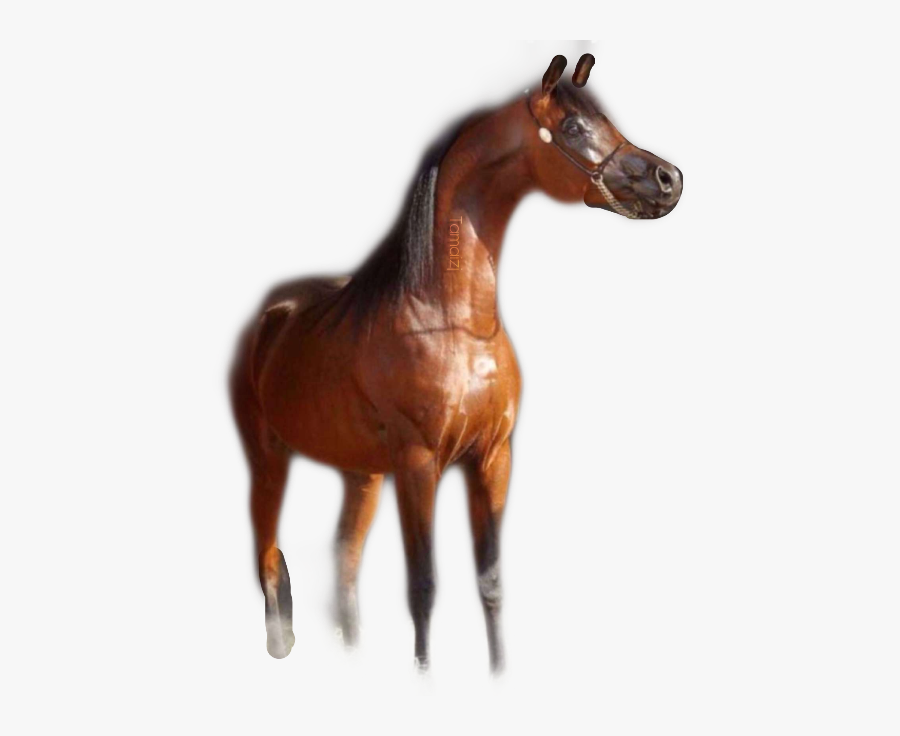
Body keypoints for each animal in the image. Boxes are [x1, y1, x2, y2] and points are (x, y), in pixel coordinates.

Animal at [230, 53, 682, 672]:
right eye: (572, 127)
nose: (669, 178)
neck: (450, 319)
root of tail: (270, 317)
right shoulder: (419, 465)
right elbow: (423, 586)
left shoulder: (492, 460)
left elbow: (489, 582)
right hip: (269, 459)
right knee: (268, 552)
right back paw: (280, 644)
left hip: (362, 474)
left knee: (344, 565)